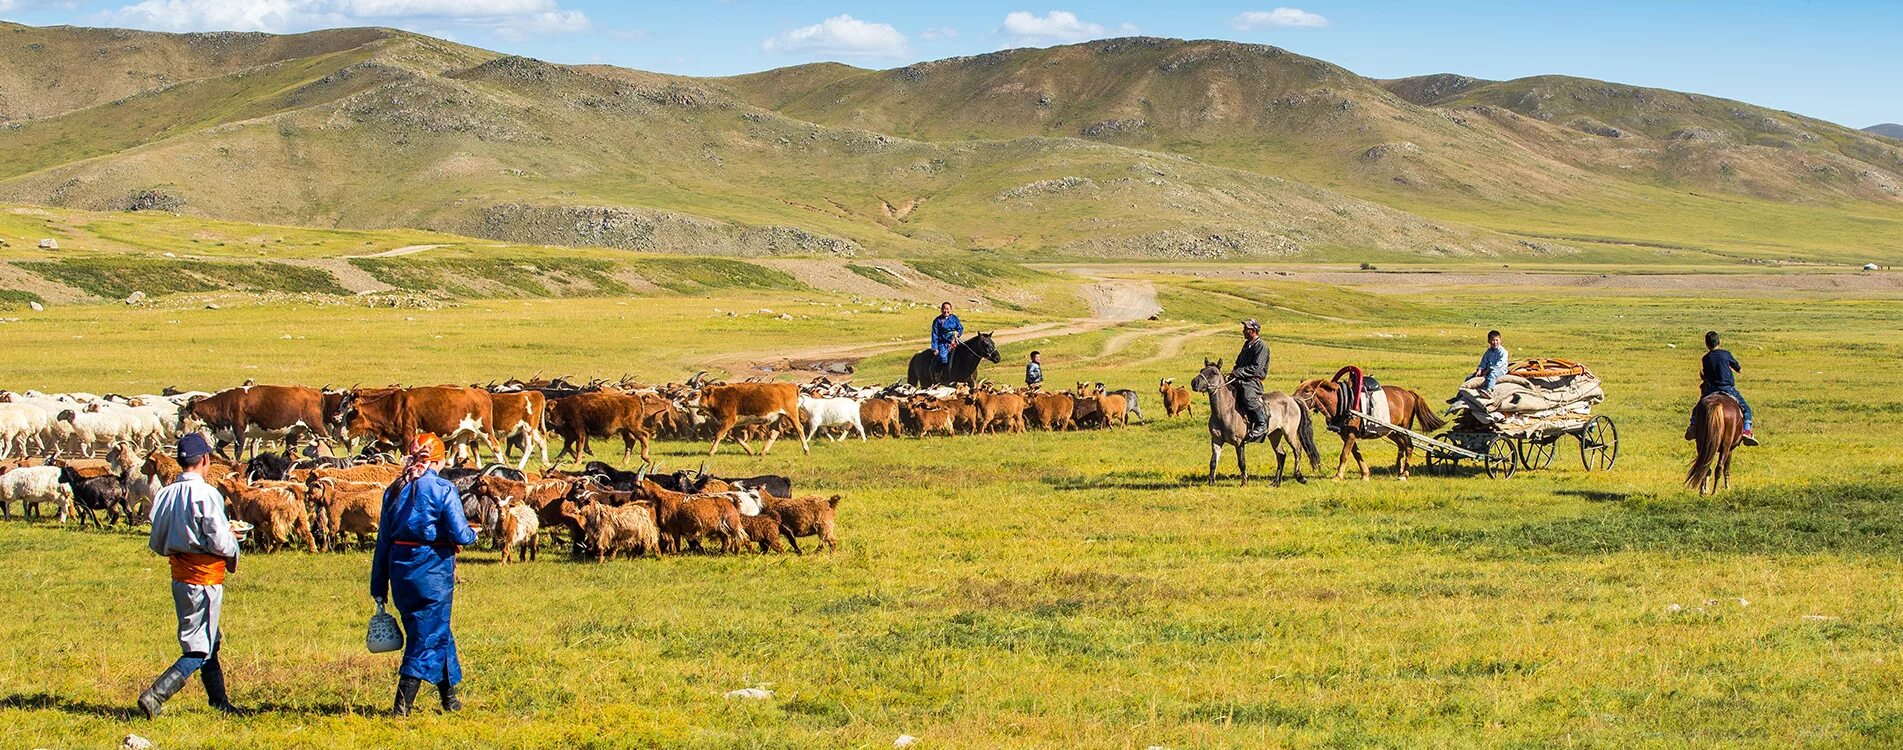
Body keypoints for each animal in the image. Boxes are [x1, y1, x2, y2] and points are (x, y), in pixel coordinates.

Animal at [1179, 361, 1316, 491]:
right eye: (1202, 370)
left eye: (1214, 373)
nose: (1194, 382)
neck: (1226, 410)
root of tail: (1291, 399)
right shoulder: (1216, 440)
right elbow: (1213, 461)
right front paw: (1211, 482)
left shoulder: (1239, 442)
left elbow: (1241, 462)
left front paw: (1244, 483)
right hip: (1274, 435)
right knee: (1281, 454)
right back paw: (1276, 483)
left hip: (1289, 433)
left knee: (1297, 450)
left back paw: (1299, 476)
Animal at [1301, 380, 1446, 479]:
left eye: (1307, 390)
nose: (1296, 400)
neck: (1343, 403)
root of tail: (1408, 393)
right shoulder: (1345, 435)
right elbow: (1356, 454)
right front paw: (1365, 474)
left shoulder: (1351, 434)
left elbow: (1344, 454)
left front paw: (1338, 476)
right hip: (1390, 431)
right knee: (1401, 446)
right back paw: (1400, 469)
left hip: (1403, 429)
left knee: (1409, 446)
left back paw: (1404, 474)